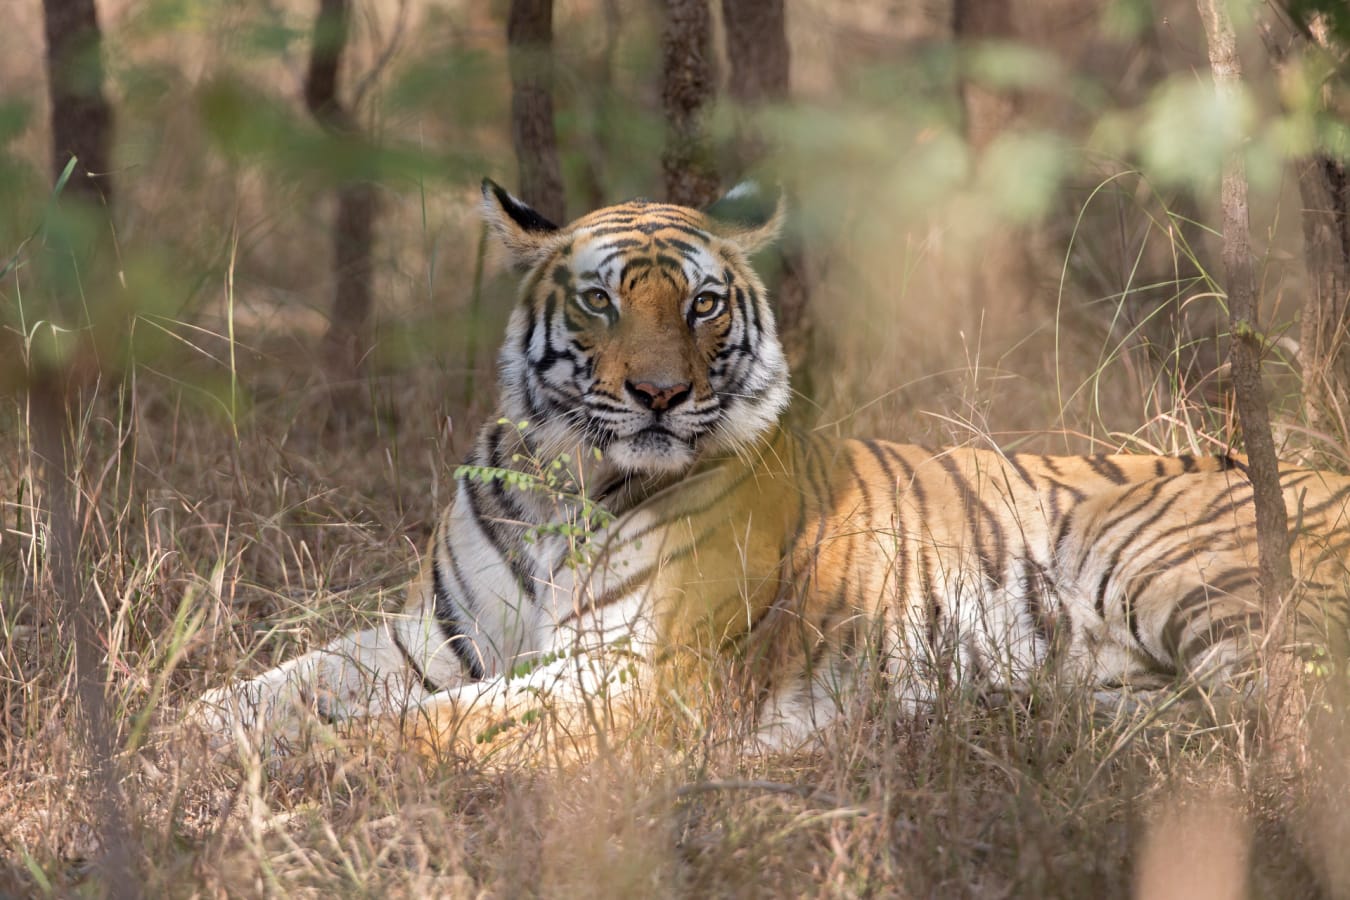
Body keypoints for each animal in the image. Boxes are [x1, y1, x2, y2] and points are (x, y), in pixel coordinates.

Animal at [190, 179, 1350, 758]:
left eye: (703, 304)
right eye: (600, 300)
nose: (659, 395)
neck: (569, 476)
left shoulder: (631, 673)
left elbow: (421, 728)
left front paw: (319, 768)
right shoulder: (442, 633)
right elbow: (277, 685)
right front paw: (188, 738)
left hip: (1186, 577)